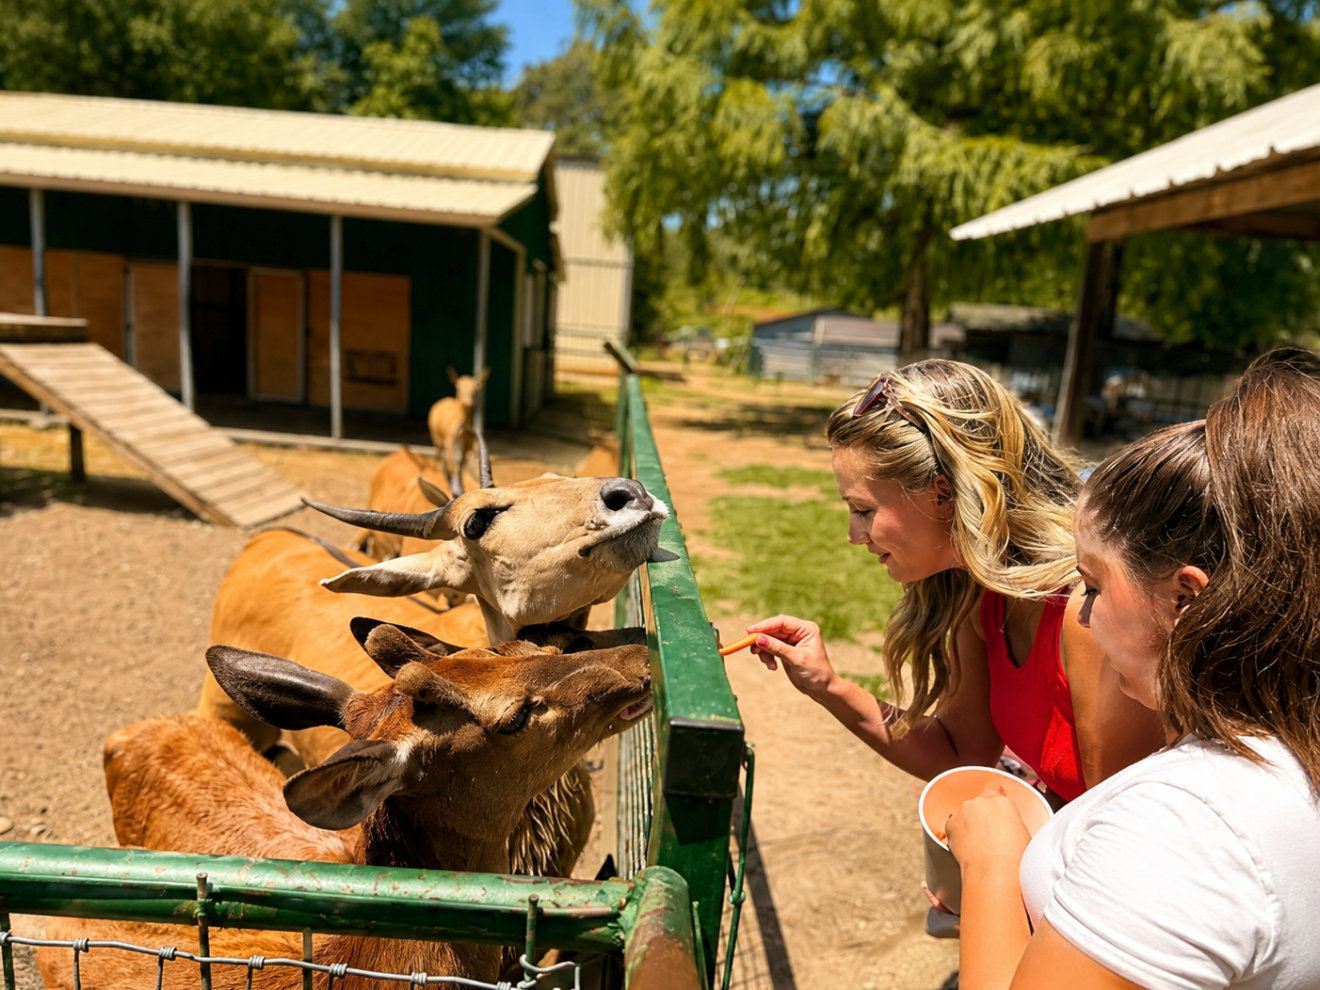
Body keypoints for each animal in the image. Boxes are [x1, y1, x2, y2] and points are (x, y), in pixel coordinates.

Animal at [427, 367, 489, 495]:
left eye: (476, 386)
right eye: (459, 387)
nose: (469, 401)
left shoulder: (468, 443)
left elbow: (461, 463)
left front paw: (460, 489)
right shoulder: (449, 440)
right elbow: (453, 462)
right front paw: (453, 490)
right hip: (435, 435)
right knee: (439, 453)